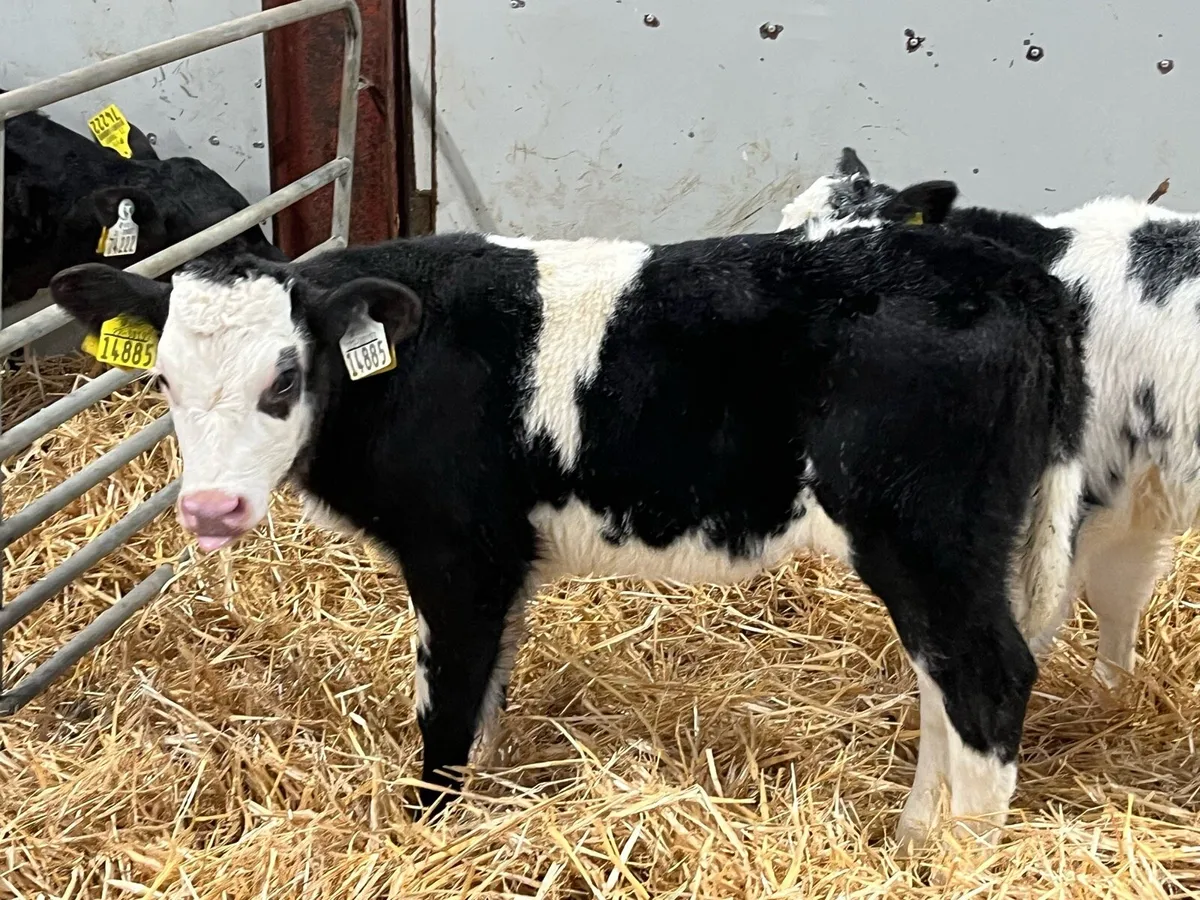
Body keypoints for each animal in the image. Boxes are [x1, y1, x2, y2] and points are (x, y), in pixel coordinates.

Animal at [49, 219, 1087, 852]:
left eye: (285, 378)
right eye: (165, 380)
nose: (209, 510)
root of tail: (1007, 273)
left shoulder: (459, 554)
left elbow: (448, 705)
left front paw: (427, 826)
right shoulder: (504, 565)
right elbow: (488, 696)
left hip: (926, 535)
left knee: (987, 678)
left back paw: (958, 861)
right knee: (943, 683)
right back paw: (915, 837)